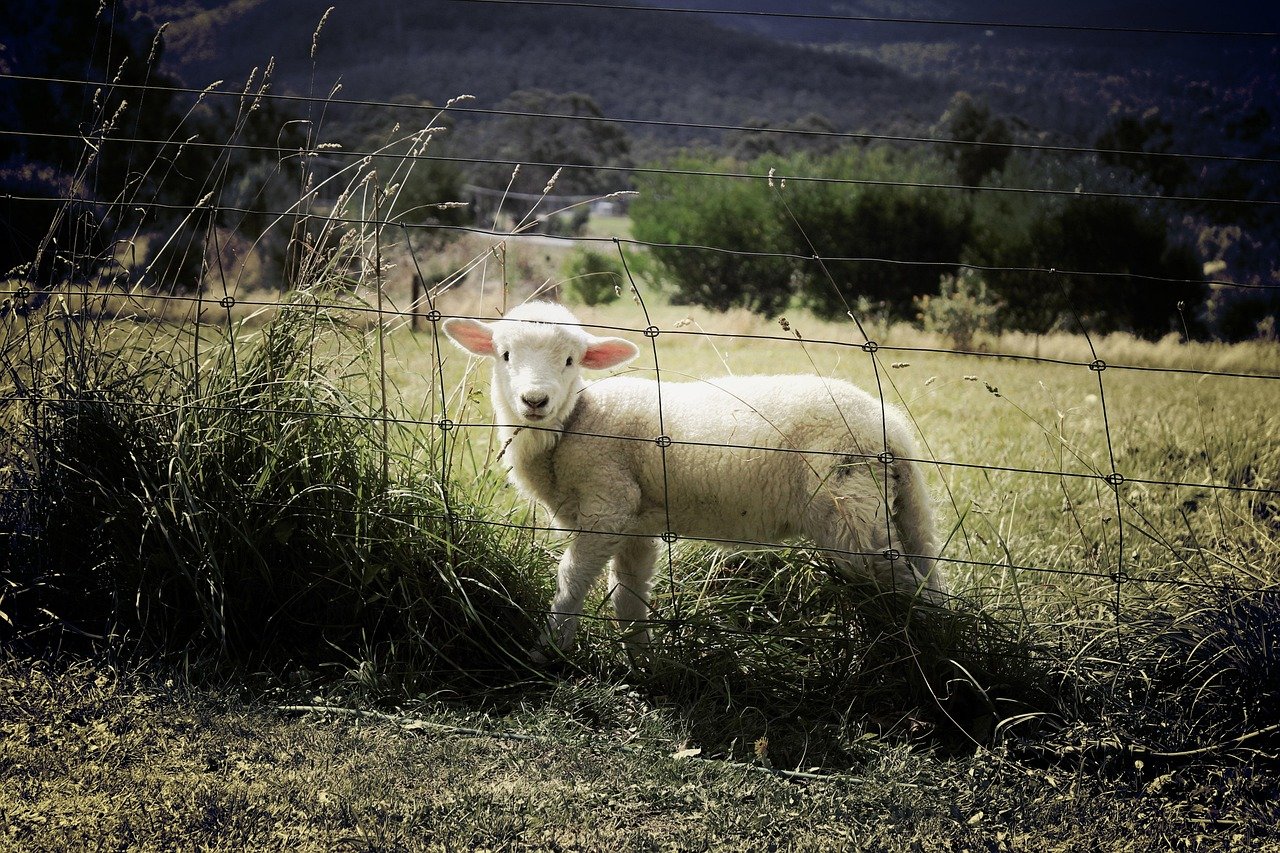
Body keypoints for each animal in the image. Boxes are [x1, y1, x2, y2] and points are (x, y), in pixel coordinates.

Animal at [442, 301, 947, 660]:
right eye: (505, 355)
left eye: (570, 360)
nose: (534, 400)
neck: (572, 426)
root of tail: (890, 428)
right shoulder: (636, 524)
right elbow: (628, 594)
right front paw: (641, 662)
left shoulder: (608, 502)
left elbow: (572, 580)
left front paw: (547, 651)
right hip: (891, 506)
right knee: (925, 573)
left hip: (848, 510)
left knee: (902, 582)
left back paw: (923, 653)